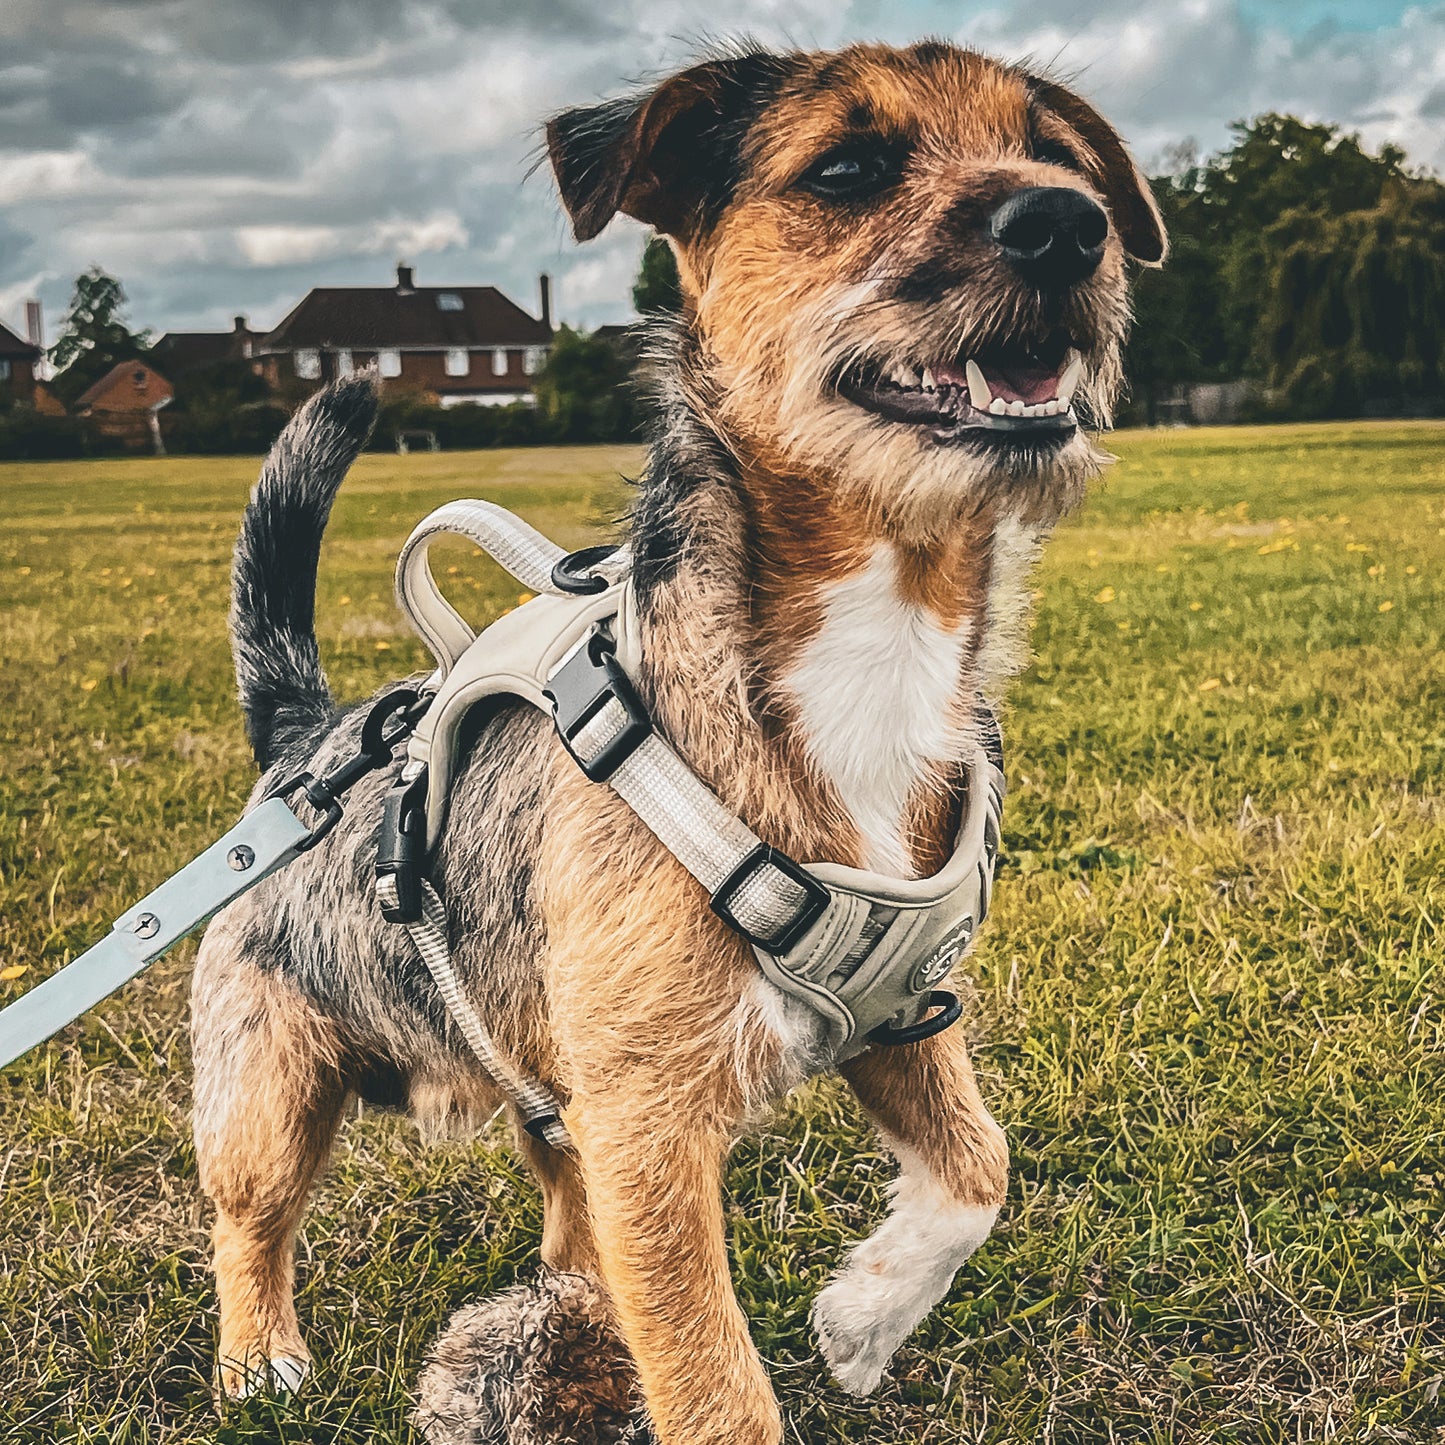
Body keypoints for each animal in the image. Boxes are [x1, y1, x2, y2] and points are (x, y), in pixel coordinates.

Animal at [192, 33, 1161, 1445]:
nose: (1066, 224)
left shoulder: (899, 1018)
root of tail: (304, 743)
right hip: (267, 1090)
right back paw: (257, 1356)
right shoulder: (650, 1131)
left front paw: (863, 1315)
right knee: (249, 1220)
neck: (866, 649)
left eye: (1053, 154)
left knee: (562, 1215)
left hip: (552, 1096)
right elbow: (709, 1378)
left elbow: (976, 1166)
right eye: (848, 168)